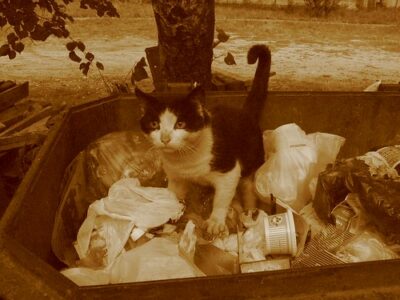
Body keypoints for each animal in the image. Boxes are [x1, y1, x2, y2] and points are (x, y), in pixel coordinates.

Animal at [135, 45, 272, 237]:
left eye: (180, 124)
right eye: (154, 124)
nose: (165, 138)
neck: (185, 159)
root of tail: (244, 112)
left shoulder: (229, 171)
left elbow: (222, 199)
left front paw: (215, 222)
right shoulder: (176, 177)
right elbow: (173, 194)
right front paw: (170, 213)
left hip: (251, 162)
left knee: (249, 189)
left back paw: (250, 213)